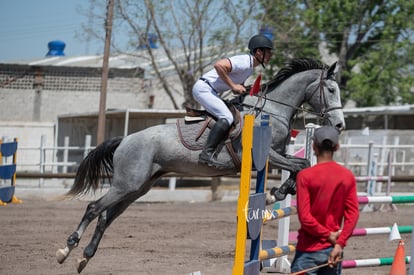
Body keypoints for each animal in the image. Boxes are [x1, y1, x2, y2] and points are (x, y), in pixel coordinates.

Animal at [56, 58, 344, 274]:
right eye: (331, 90)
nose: (340, 125)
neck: (271, 111)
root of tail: (125, 139)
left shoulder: (277, 155)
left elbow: (301, 164)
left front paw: (282, 191)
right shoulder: (265, 156)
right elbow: (299, 165)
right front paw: (278, 193)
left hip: (138, 187)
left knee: (106, 216)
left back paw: (85, 257)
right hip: (127, 184)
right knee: (94, 208)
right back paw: (66, 248)